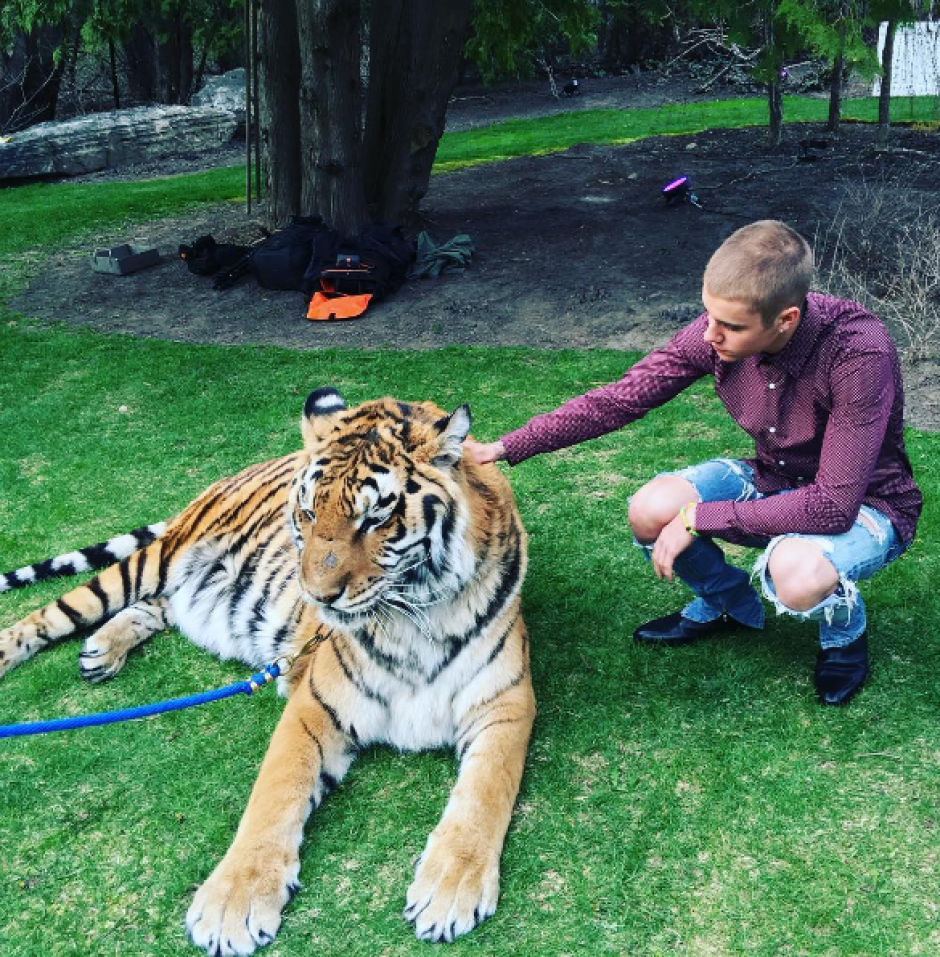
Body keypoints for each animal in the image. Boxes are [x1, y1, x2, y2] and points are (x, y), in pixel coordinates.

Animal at [0, 386, 536, 948]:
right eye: (307, 512)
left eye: (374, 519)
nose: (316, 596)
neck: (414, 617)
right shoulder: (313, 706)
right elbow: (276, 793)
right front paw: (232, 903)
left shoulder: (506, 703)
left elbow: (483, 794)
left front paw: (450, 889)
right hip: (151, 562)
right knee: (53, 614)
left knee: (156, 607)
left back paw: (101, 651)